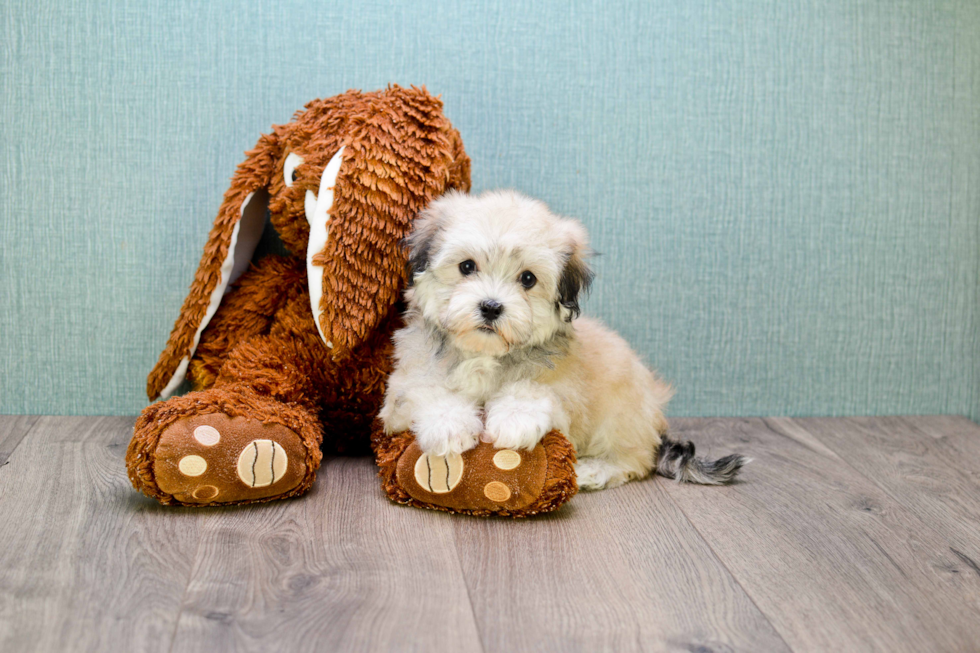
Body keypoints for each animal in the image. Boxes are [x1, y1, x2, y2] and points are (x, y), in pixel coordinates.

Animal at [378, 188, 748, 488]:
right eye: (466, 267)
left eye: (527, 279)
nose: (491, 307)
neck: (485, 354)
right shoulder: (403, 387)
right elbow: (428, 390)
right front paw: (449, 426)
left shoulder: (565, 391)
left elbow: (535, 391)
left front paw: (514, 419)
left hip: (620, 414)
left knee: (634, 459)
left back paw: (593, 471)